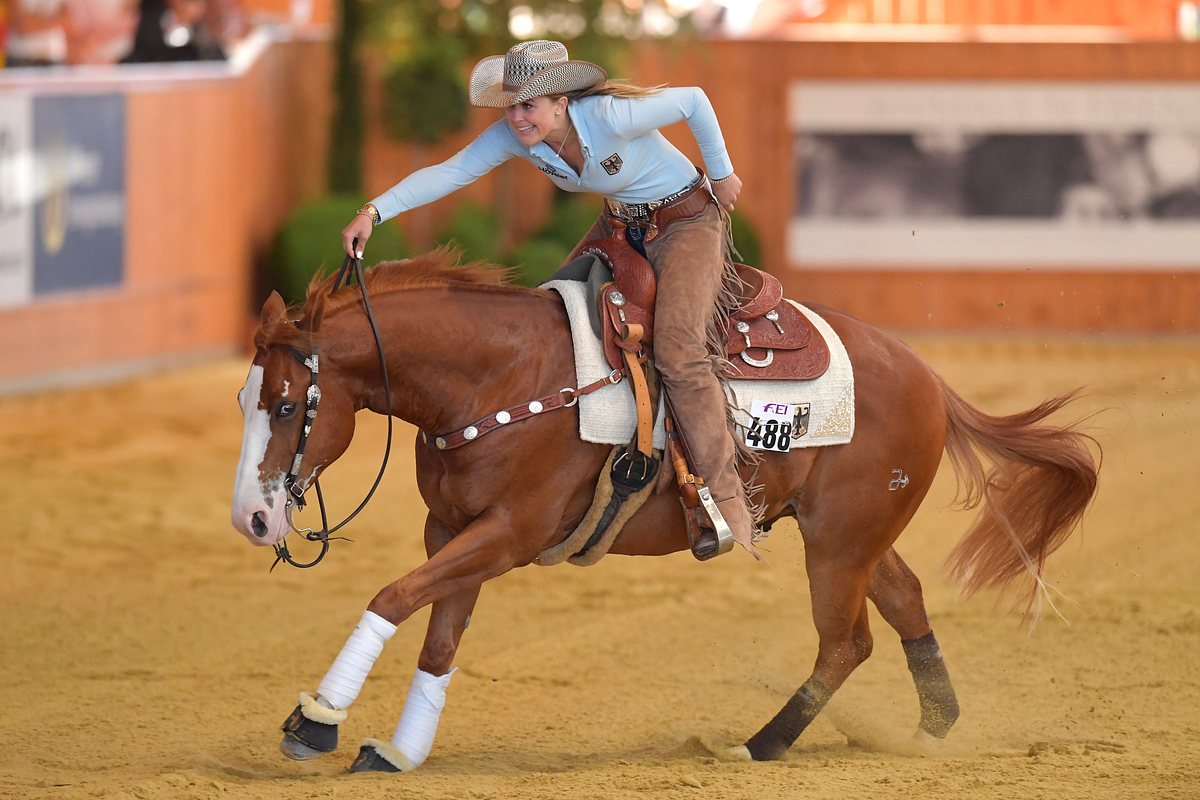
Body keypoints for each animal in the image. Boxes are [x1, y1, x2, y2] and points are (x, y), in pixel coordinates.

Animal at [229, 253, 1099, 772]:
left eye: (286, 404)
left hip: (838, 545)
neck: (501, 378)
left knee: (846, 642)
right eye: (245, 399)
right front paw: (401, 751)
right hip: (851, 534)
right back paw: (931, 727)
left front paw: (317, 719)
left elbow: (393, 597)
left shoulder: (507, 535)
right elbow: (440, 636)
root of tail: (928, 378)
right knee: (904, 602)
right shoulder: (451, 528)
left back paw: (759, 745)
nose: (253, 522)